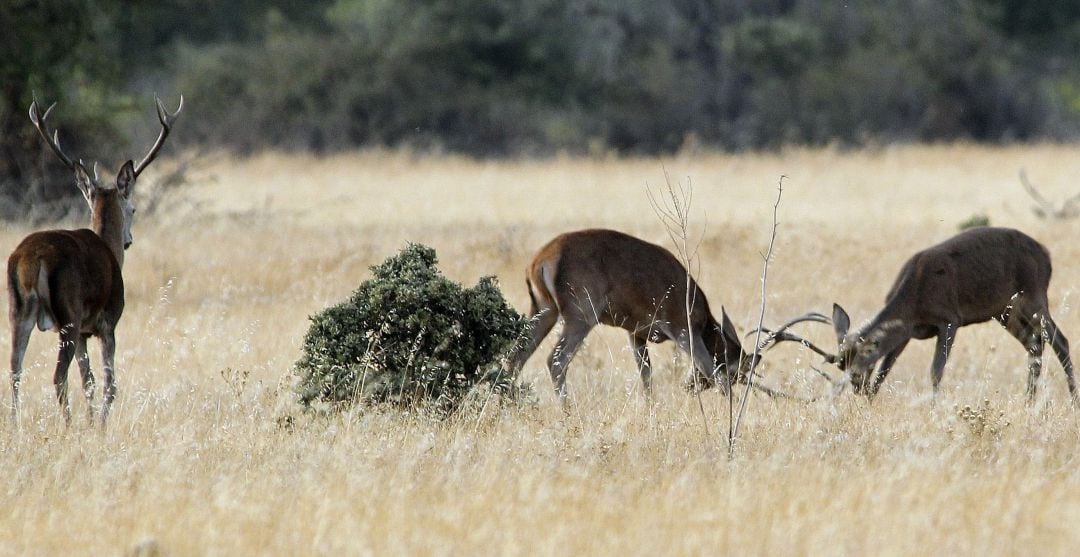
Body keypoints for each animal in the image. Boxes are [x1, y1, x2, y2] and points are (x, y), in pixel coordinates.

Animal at [7, 96, 181, 427]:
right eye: (133, 209)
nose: (128, 239)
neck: (110, 251)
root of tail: (31, 260)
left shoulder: (87, 332)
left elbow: (87, 379)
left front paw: (91, 422)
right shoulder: (106, 321)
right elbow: (109, 382)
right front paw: (98, 425)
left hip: (17, 311)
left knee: (14, 372)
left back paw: (15, 424)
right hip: (69, 314)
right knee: (57, 376)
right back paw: (66, 425)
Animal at [505, 228, 825, 401]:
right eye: (737, 372)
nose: (690, 387)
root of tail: (540, 260)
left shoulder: (635, 333)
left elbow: (646, 377)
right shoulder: (683, 330)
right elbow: (708, 367)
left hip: (544, 310)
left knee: (516, 356)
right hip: (581, 317)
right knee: (556, 360)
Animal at [764, 226, 1075, 403]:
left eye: (862, 362)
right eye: (842, 365)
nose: (857, 388)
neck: (914, 297)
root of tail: (1046, 254)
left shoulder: (949, 318)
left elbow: (936, 371)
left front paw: (934, 407)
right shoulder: (907, 332)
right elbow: (885, 372)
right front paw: (871, 402)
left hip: (1034, 294)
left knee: (1060, 340)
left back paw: (1073, 400)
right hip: (1004, 311)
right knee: (1035, 343)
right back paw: (1029, 401)